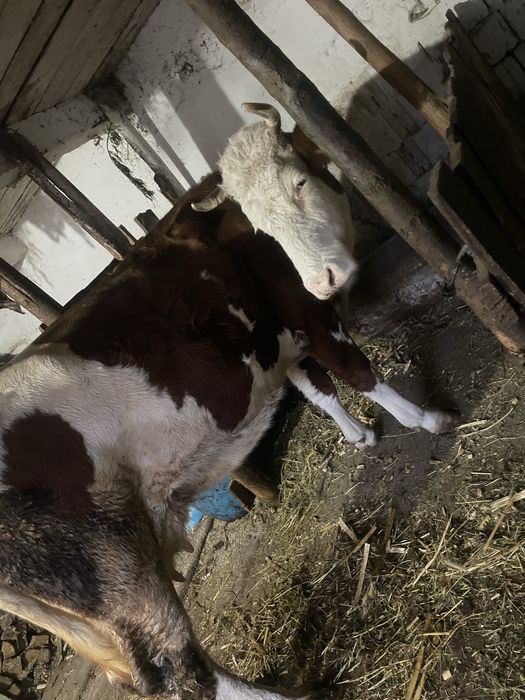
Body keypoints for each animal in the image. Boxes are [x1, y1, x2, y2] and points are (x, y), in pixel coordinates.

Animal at [0, 114, 457, 699]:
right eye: (259, 224)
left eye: (299, 182)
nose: (324, 277)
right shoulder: (306, 311)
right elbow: (357, 371)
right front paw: (426, 419)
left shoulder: (275, 337)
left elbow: (317, 386)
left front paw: (359, 435)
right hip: (115, 566)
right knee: (185, 673)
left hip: (89, 616)